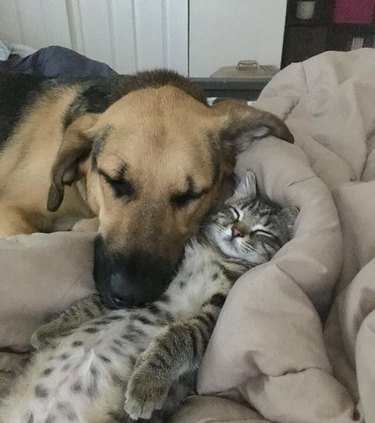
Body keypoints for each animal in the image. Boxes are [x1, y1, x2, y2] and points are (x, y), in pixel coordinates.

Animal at [0, 172, 300, 423]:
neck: (215, 255)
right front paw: (51, 329)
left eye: (262, 231)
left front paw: (145, 385)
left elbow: (178, 337)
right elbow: (92, 303)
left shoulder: (213, 315)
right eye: (235, 212)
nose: (237, 231)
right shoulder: (157, 284)